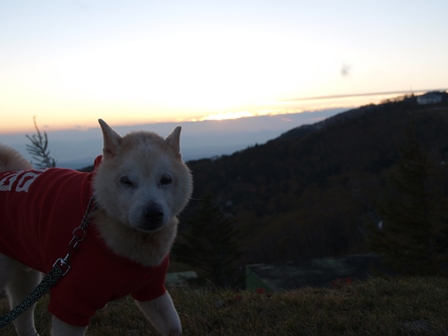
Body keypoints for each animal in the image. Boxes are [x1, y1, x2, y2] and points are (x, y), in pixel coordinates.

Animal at [0, 119, 192, 334]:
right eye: (126, 181)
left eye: (166, 180)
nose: (153, 213)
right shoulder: (71, 302)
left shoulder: (152, 289)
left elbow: (173, 327)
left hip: (26, 278)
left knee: (22, 319)